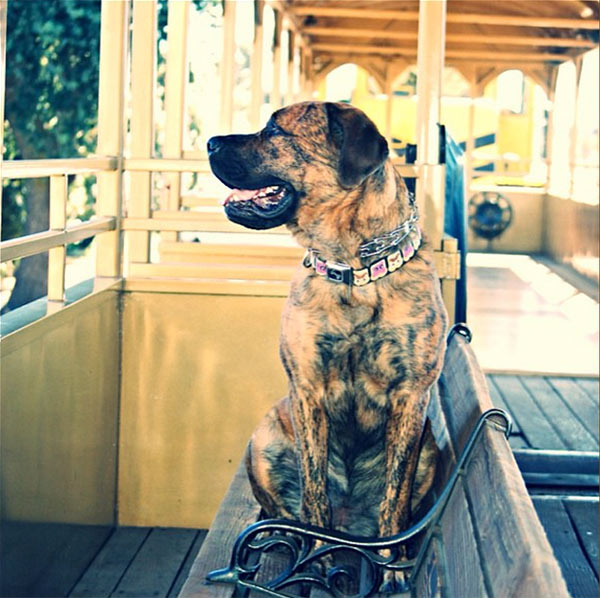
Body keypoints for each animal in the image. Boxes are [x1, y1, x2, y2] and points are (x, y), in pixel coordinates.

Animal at [206, 102, 446, 584]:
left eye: (275, 129)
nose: (209, 142)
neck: (353, 269)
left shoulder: (411, 397)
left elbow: (395, 497)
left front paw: (390, 568)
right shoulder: (308, 390)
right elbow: (314, 492)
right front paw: (317, 554)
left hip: (429, 449)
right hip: (264, 440)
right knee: (288, 506)